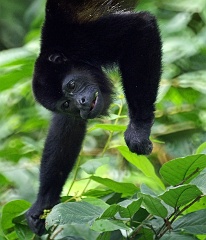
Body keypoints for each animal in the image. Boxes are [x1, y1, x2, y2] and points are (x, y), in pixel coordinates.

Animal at [25, 0, 162, 236]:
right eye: (66, 104)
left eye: (71, 85)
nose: (80, 103)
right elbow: (68, 125)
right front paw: (43, 203)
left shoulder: (85, 41)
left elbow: (141, 27)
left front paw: (139, 127)